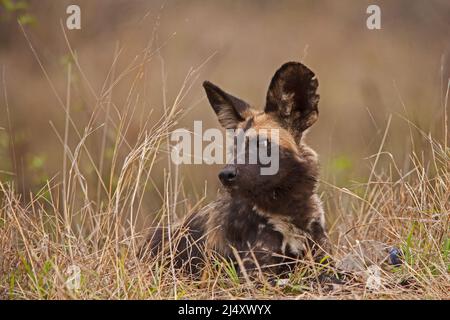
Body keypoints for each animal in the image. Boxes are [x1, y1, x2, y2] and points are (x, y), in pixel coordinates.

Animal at [143, 62, 330, 276]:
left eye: (262, 144)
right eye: (234, 148)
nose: (226, 174)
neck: (288, 211)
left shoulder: (323, 261)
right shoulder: (258, 273)